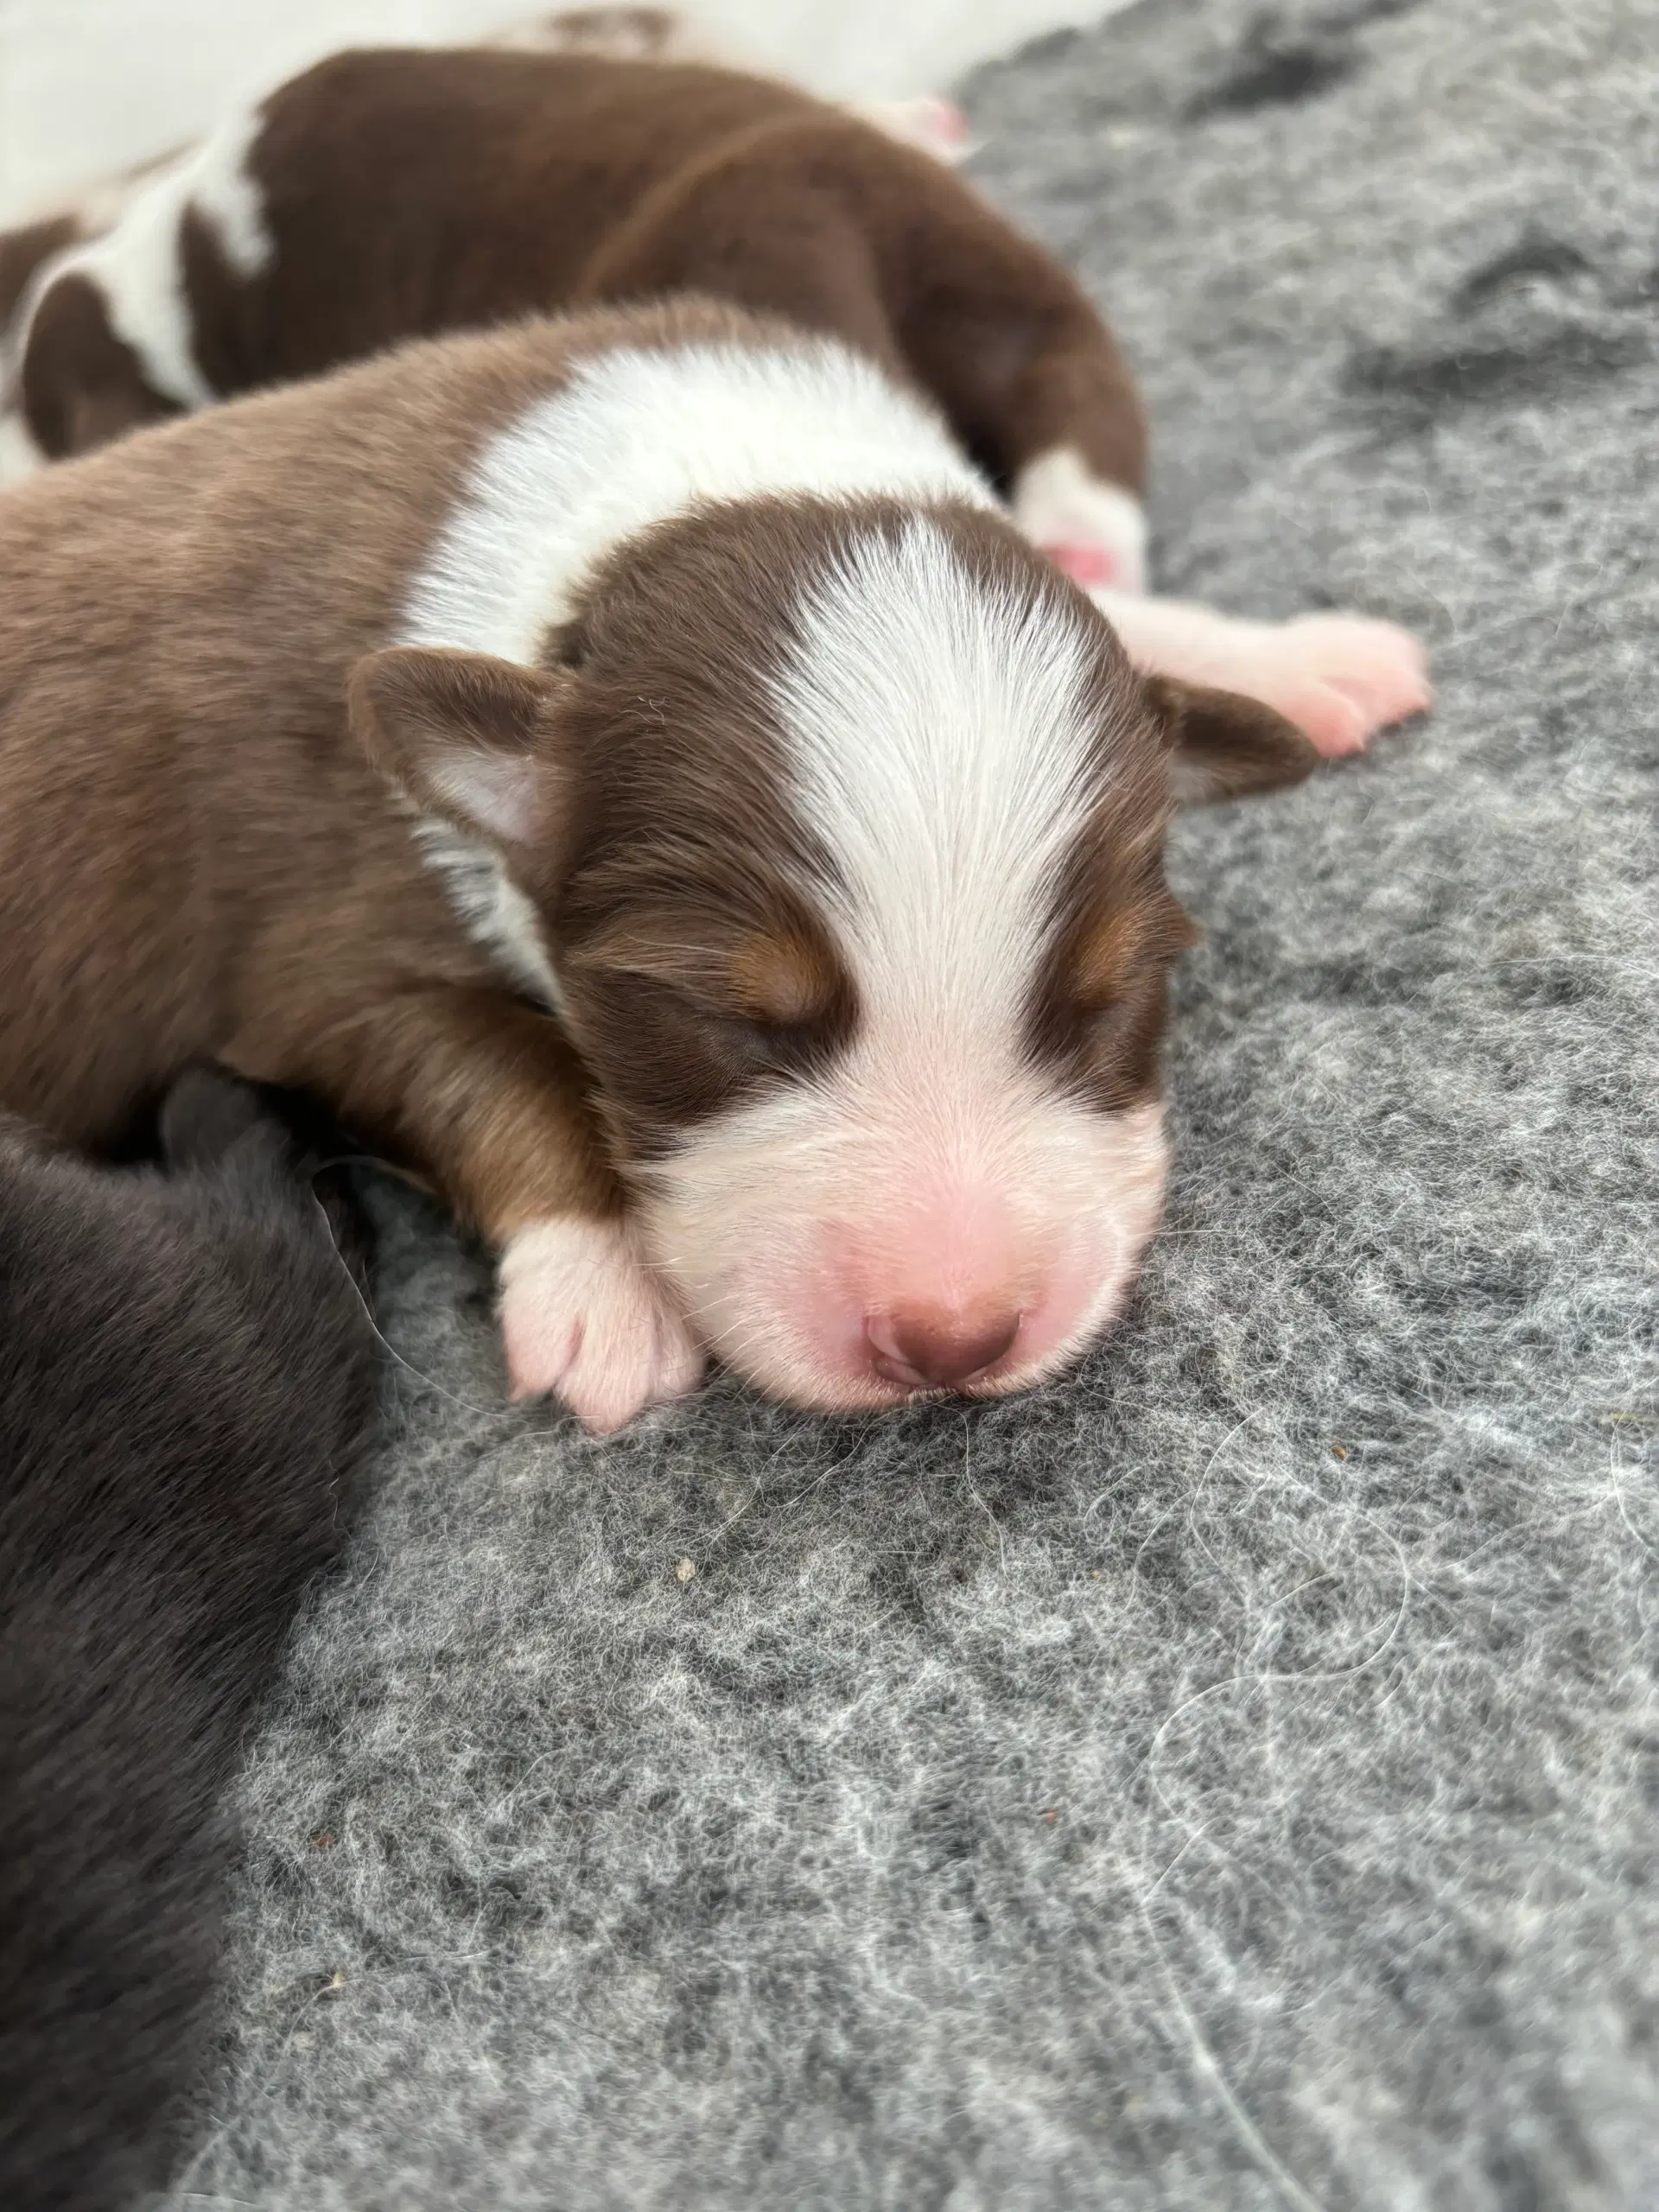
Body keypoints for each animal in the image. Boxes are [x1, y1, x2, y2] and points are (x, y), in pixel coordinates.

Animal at [0, 298, 1433, 1433]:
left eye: (1109, 994)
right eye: (722, 1017)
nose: (953, 1336)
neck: (705, 478)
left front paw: (1289, 657)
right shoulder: (311, 955)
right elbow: (499, 1061)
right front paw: (608, 1288)